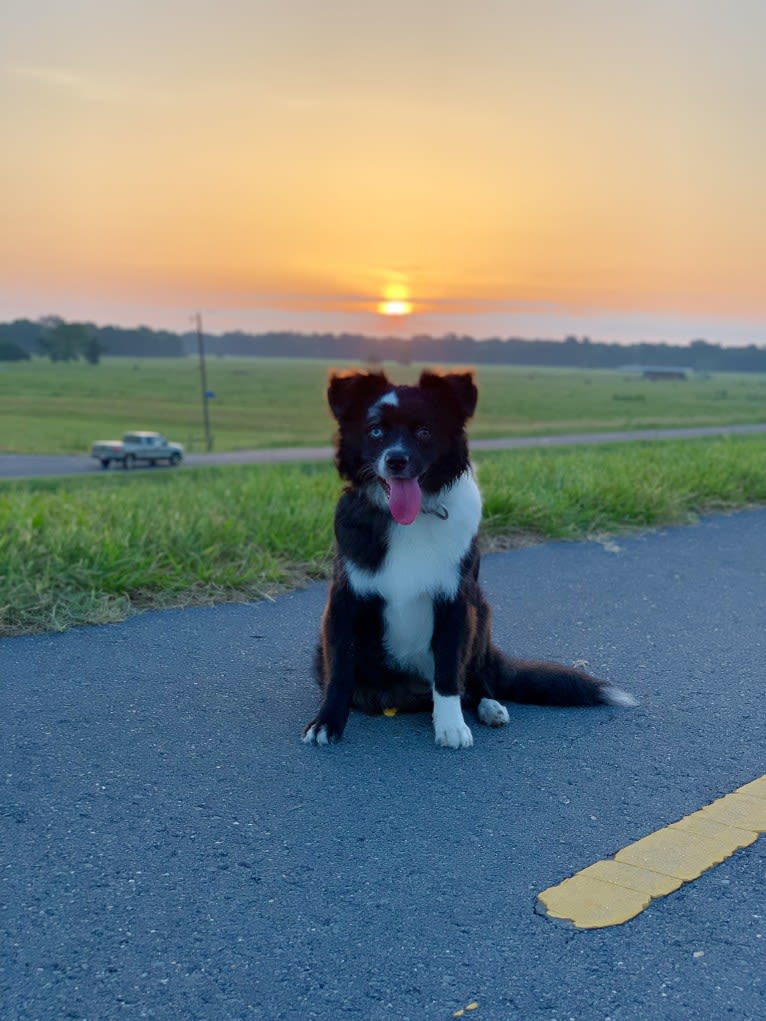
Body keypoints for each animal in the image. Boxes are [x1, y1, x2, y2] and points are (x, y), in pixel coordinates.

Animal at [302, 371, 637, 747]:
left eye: (424, 431)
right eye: (375, 430)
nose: (396, 460)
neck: (412, 518)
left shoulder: (457, 602)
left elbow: (448, 672)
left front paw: (450, 726)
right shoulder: (343, 601)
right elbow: (340, 670)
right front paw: (327, 722)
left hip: (482, 613)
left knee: (476, 682)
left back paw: (489, 707)